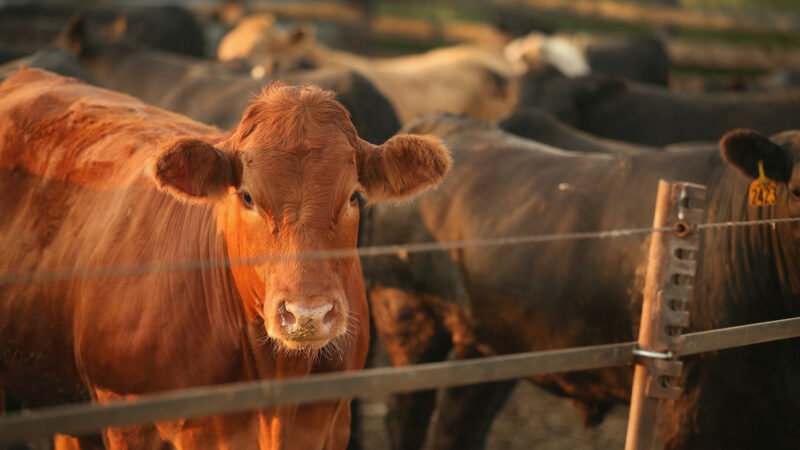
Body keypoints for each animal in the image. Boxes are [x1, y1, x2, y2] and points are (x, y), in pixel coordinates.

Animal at [360, 114, 800, 448]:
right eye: (796, 190)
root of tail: (440, 123)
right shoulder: (696, 410)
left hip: (488, 337)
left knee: (459, 416)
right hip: (407, 316)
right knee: (408, 416)